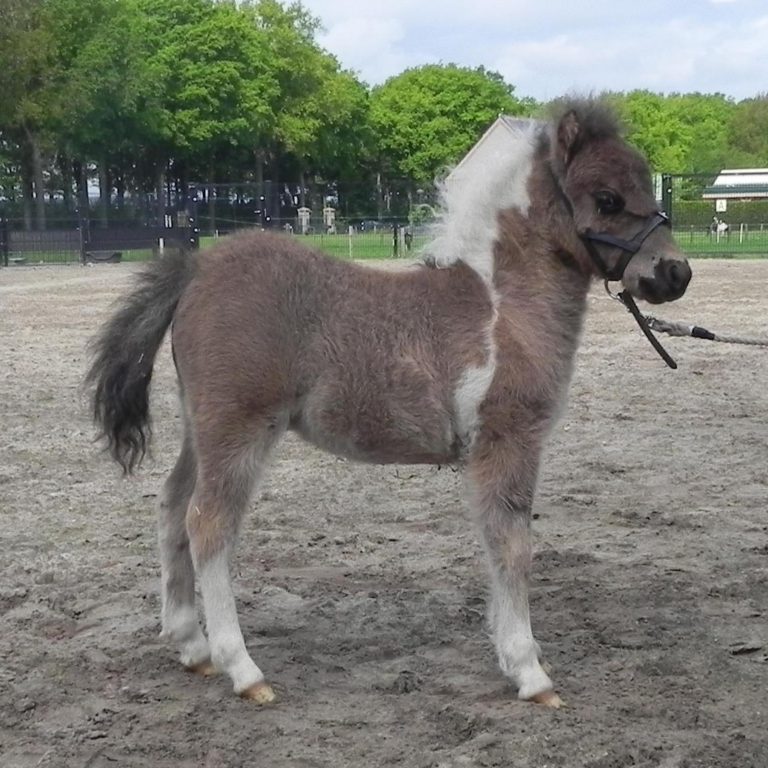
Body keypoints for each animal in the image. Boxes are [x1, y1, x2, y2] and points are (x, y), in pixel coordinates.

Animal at [87, 99, 692, 709]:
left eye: (646, 183)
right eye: (607, 198)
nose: (675, 272)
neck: (502, 306)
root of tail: (197, 269)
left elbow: (494, 543)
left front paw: (510, 651)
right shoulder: (508, 438)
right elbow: (513, 547)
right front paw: (529, 671)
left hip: (202, 428)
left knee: (171, 507)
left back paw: (191, 645)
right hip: (239, 429)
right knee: (208, 524)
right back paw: (243, 668)